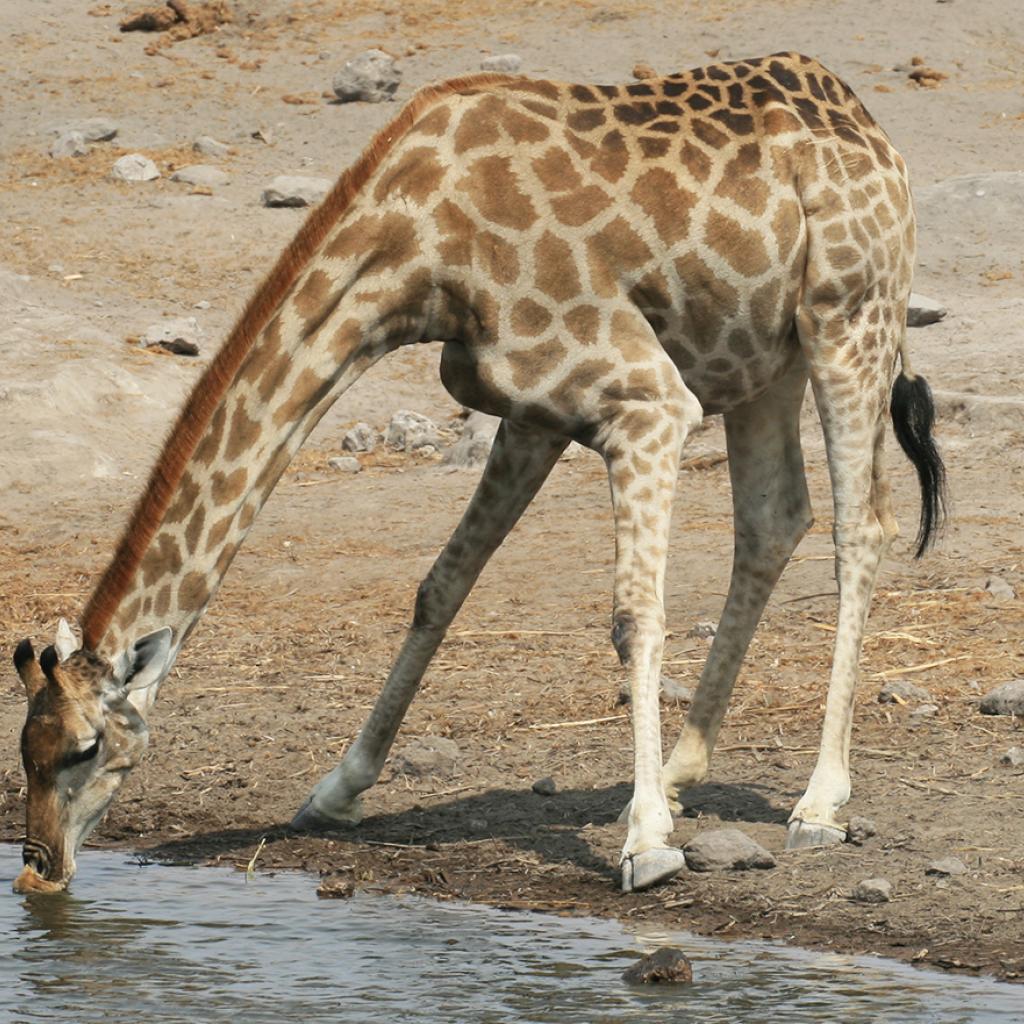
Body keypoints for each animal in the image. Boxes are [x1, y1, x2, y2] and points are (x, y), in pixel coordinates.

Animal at [12, 51, 946, 892]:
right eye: (23, 752)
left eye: (85, 749)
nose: (39, 869)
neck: (416, 248)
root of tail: (873, 129)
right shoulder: (534, 412)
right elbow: (443, 584)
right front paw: (337, 789)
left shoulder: (645, 402)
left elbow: (634, 616)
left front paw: (647, 846)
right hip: (759, 357)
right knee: (773, 518)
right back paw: (682, 770)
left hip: (848, 319)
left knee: (861, 527)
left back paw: (816, 803)